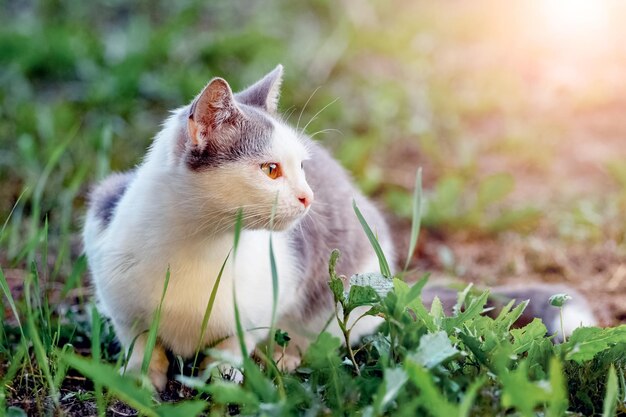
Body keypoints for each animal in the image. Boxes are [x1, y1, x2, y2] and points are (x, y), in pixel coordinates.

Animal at [84, 65, 596, 390]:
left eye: (302, 166)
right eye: (271, 170)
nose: (308, 197)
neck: (199, 244)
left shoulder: (267, 295)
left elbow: (232, 343)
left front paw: (222, 375)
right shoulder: (108, 253)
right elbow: (138, 339)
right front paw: (138, 378)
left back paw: (286, 356)